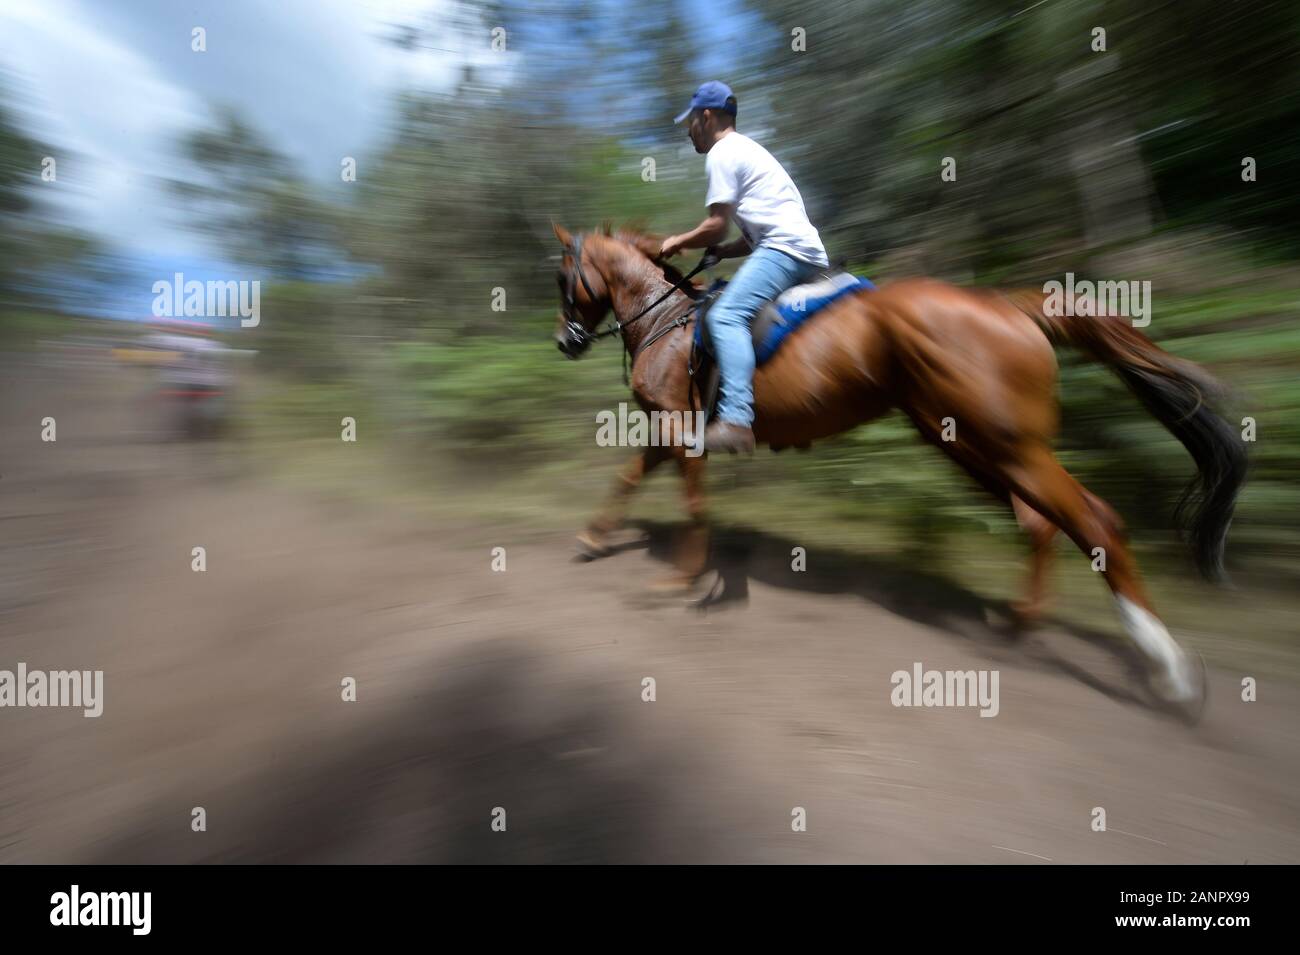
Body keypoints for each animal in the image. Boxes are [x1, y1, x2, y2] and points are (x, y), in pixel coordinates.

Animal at [551, 222, 1248, 717]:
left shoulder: (681, 426)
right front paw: (592, 538)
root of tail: (1013, 308)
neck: (664, 320)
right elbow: (628, 479)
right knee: (1042, 523)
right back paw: (1022, 623)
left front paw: (681, 580)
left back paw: (1171, 673)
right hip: (967, 444)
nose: (565, 342)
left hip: (1004, 446)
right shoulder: (665, 432)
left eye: (562, 279)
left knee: (1095, 520)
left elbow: (692, 505)